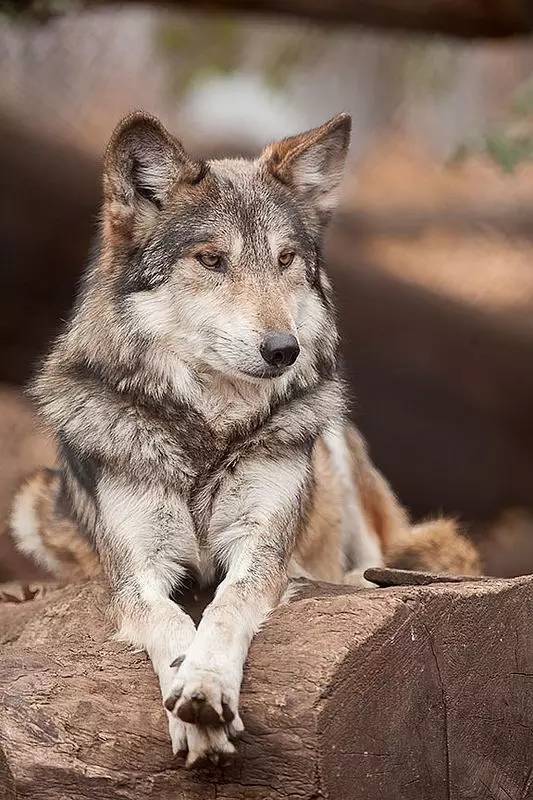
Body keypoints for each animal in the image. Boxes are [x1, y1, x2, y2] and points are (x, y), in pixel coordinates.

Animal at [8, 111, 476, 764]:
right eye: (211, 260)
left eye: (285, 259)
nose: (284, 349)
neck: (210, 431)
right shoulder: (136, 573)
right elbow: (172, 622)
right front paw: (190, 697)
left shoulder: (258, 552)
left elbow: (225, 609)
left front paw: (204, 685)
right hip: (33, 506)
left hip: (331, 441)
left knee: (373, 562)